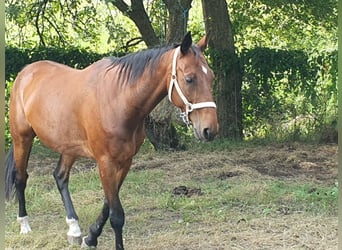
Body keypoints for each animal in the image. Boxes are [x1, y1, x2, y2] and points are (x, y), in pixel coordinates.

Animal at [5, 32, 218, 249]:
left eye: (211, 77)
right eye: (189, 79)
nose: (209, 130)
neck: (118, 100)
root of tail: (25, 73)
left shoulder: (124, 162)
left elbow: (108, 204)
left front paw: (90, 237)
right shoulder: (105, 162)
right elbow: (116, 215)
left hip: (69, 147)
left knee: (60, 176)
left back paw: (74, 228)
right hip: (22, 138)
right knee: (21, 178)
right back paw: (24, 224)